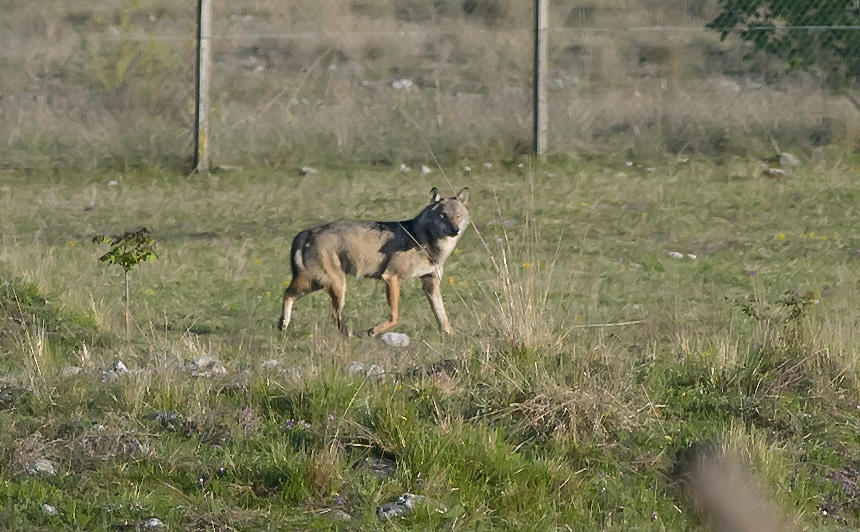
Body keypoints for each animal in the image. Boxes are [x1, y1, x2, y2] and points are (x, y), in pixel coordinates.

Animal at [278, 187, 470, 336]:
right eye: (444, 215)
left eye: (458, 215)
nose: (455, 230)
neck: (424, 240)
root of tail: (307, 231)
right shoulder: (391, 278)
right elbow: (395, 316)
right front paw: (374, 331)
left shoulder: (431, 283)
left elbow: (443, 317)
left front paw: (451, 337)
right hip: (334, 285)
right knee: (328, 312)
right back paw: (349, 336)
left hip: (318, 283)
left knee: (289, 294)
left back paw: (283, 325)